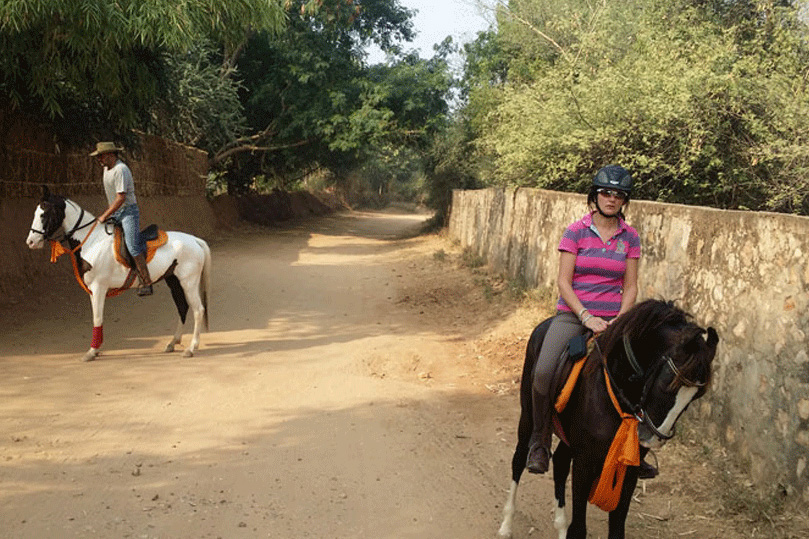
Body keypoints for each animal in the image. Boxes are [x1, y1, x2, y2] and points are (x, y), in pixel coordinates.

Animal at [26, 187, 211, 362]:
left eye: (44, 214)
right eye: (35, 213)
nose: (31, 242)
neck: (93, 241)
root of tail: (195, 240)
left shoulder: (98, 287)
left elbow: (97, 318)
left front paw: (91, 352)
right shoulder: (92, 290)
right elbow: (97, 318)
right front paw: (96, 350)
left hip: (188, 282)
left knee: (198, 310)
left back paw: (191, 348)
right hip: (173, 281)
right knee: (182, 307)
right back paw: (173, 343)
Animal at [498, 300, 720, 539]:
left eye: (697, 395)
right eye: (666, 384)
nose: (653, 438)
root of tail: (544, 324)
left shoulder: (629, 468)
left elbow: (617, 526)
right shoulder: (584, 462)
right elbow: (579, 528)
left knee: (560, 462)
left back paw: (559, 526)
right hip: (528, 417)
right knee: (519, 459)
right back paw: (506, 525)